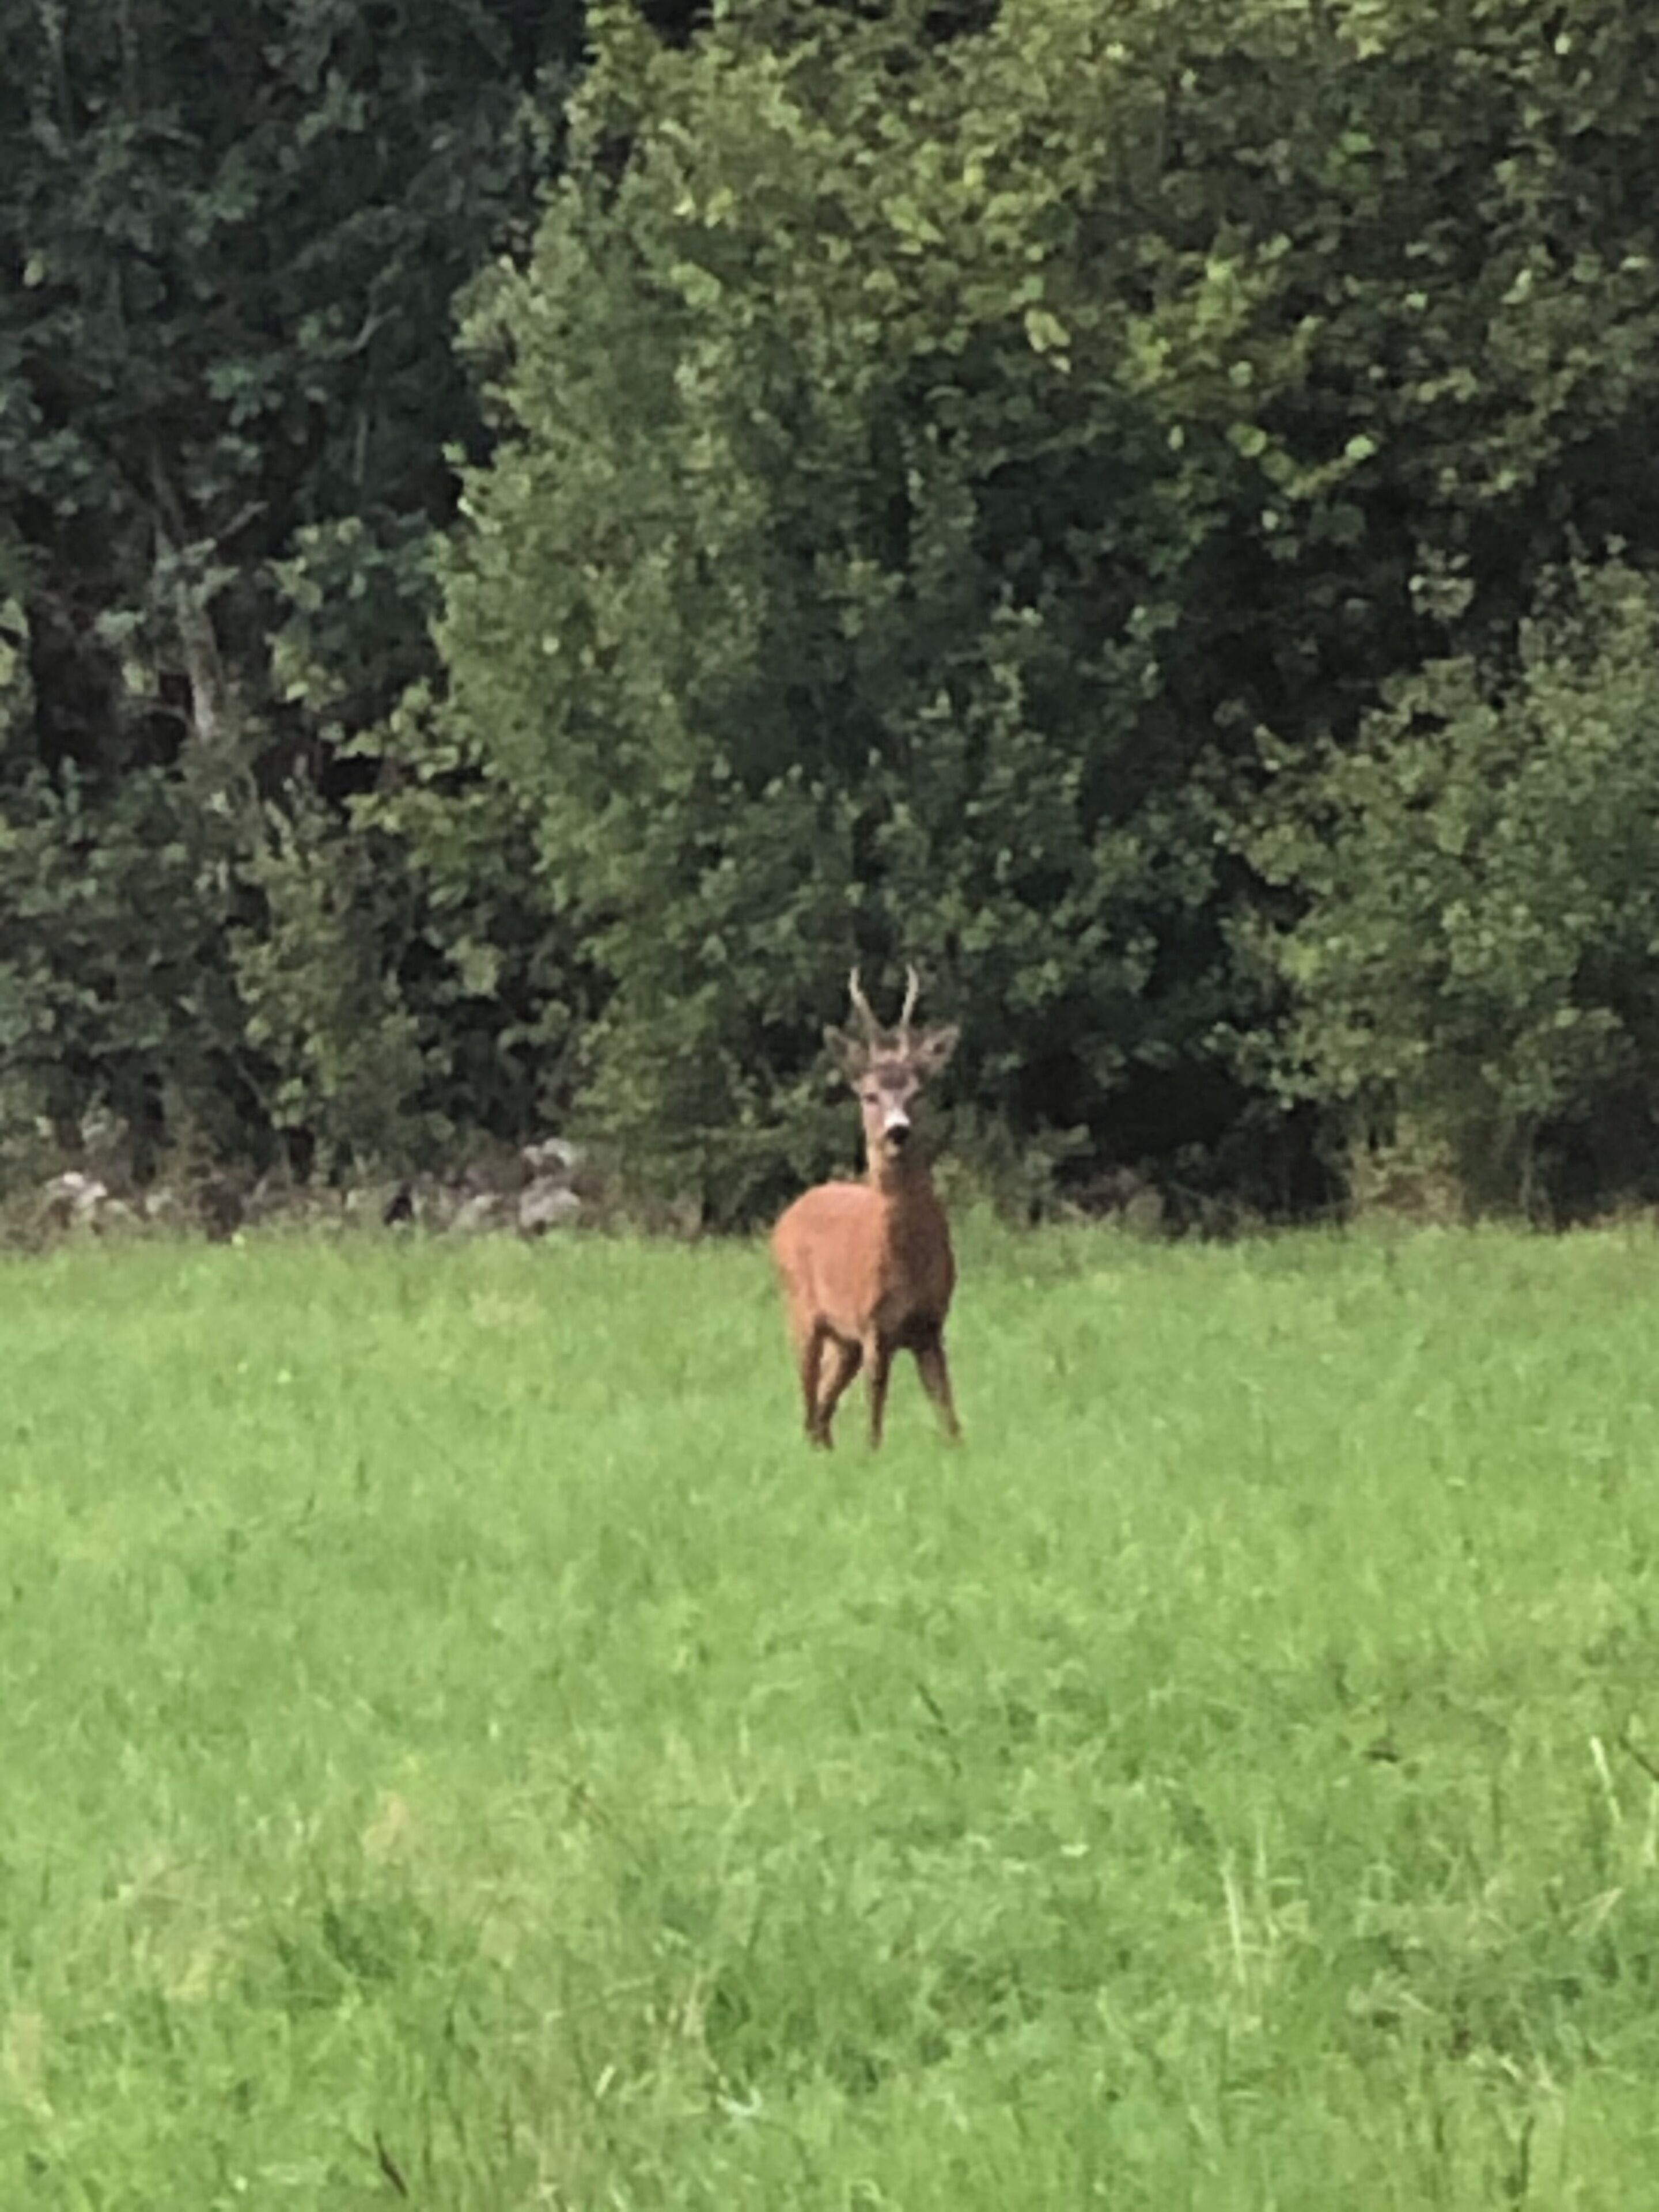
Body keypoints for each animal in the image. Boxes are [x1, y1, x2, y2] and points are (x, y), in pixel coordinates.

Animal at [771, 966, 962, 1450]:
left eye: (917, 1093)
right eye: (870, 1095)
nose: (898, 1132)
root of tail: (789, 1214)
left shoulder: (931, 1324)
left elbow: (950, 1419)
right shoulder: (873, 1324)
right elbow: (874, 1423)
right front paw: (873, 1458)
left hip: (845, 1343)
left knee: (822, 1407)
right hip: (802, 1311)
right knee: (809, 1402)